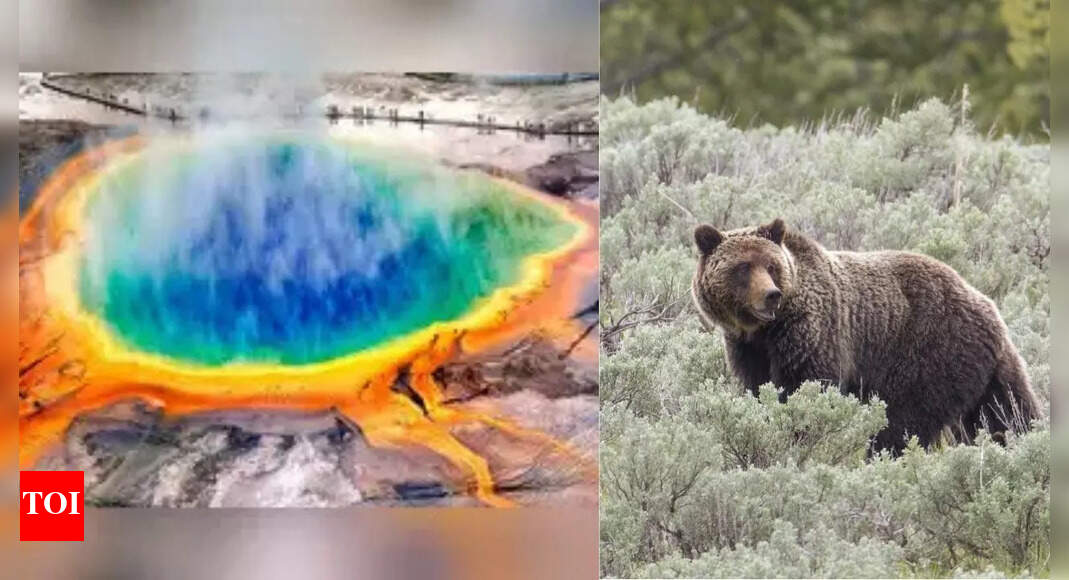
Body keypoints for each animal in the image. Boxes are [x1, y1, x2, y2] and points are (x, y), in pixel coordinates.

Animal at [690, 218, 1040, 453]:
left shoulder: (813, 334)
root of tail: (989, 307)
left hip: (930, 354)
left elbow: (806, 387)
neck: (764, 331)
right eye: (743, 267)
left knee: (903, 422)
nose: (771, 295)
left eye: (771, 265)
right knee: (1006, 412)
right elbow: (757, 388)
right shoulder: (748, 349)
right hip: (984, 369)